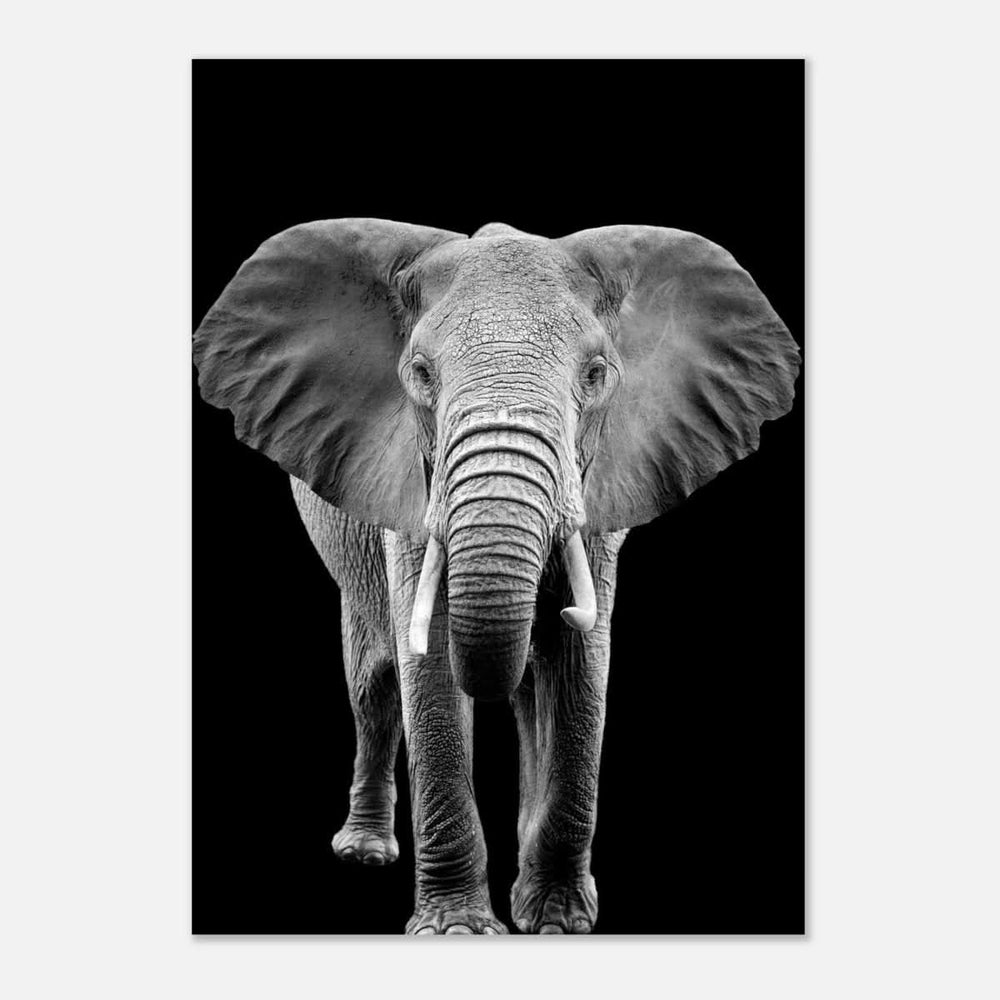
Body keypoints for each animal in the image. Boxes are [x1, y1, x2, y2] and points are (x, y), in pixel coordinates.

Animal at [192, 218, 800, 935]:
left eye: (596, 374)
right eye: (420, 374)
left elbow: (580, 665)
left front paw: (558, 922)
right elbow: (427, 663)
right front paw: (457, 930)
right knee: (373, 685)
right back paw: (365, 853)